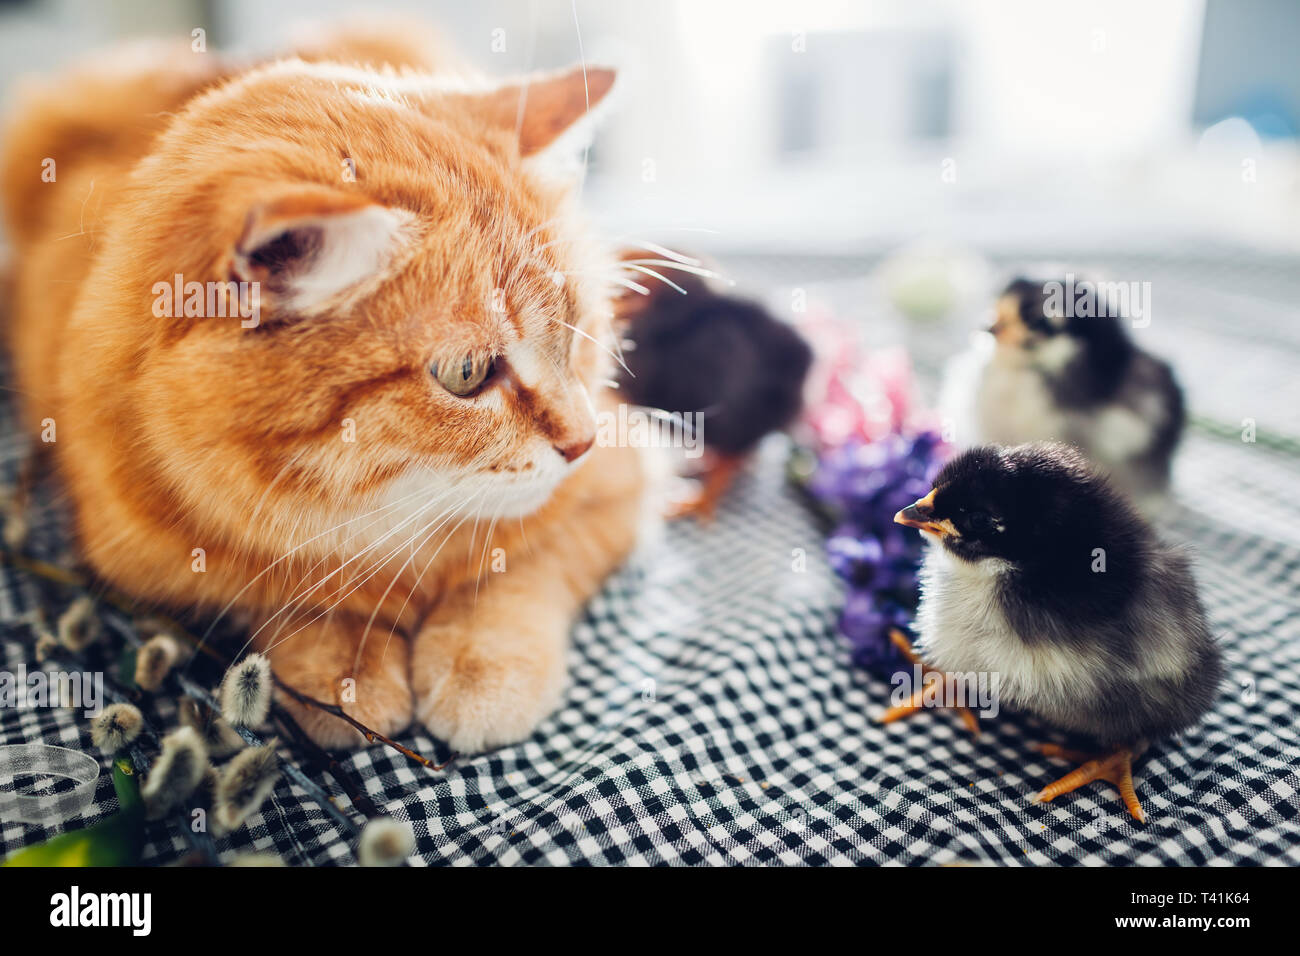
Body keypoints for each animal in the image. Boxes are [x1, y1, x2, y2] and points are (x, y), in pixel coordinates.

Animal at [0, 26, 650, 749]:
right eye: (468, 373)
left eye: (575, 328)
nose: (582, 442)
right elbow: (284, 597)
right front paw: (342, 661)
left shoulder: (620, 482)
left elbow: (522, 570)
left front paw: (484, 661)